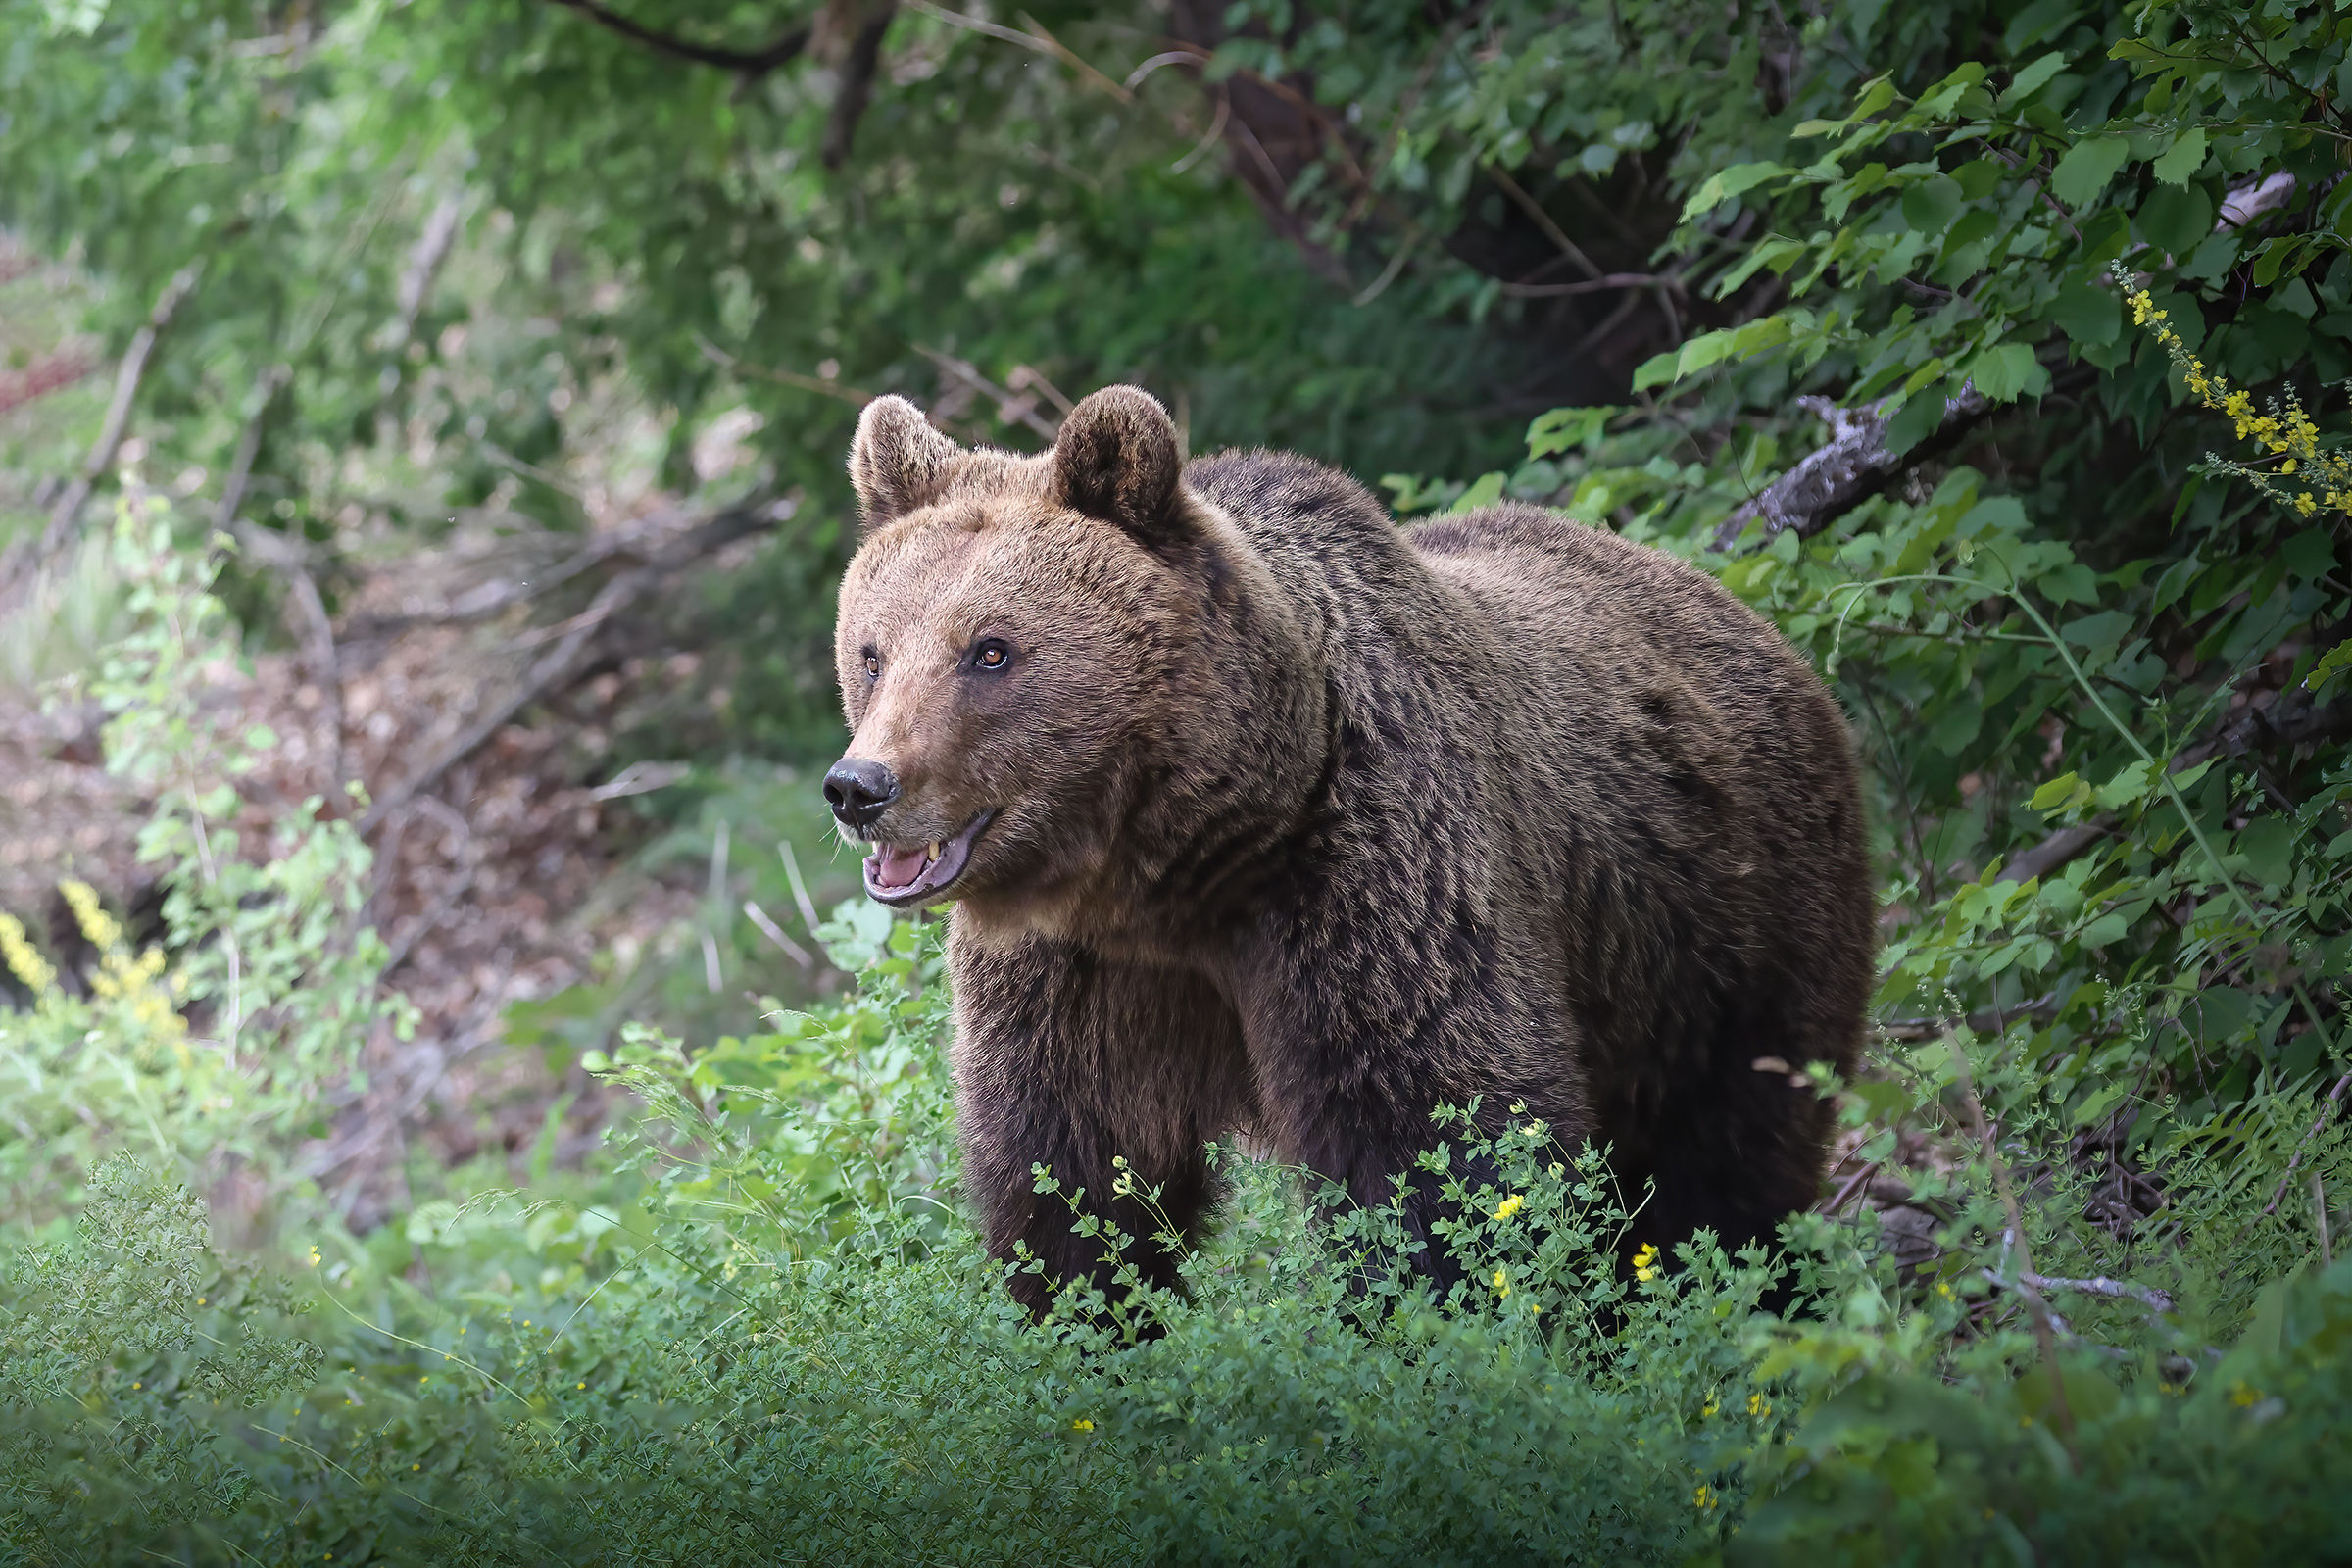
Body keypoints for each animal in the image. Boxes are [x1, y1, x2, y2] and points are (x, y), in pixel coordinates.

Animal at [826, 385, 1873, 1320]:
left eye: (991, 650)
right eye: (872, 651)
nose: (860, 787)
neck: (1182, 869)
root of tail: (1741, 611)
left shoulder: (1374, 887)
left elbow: (1439, 1150)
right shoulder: (1080, 975)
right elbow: (1074, 1171)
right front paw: (1097, 1321)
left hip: (1734, 928)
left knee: (1733, 1161)